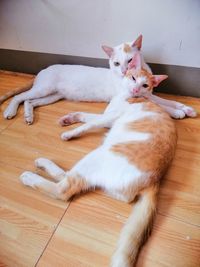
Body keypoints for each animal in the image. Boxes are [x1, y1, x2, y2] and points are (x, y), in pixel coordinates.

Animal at [19, 52, 177, 267]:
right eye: (133, 78)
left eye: (145, 85)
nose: (136, 89)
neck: (125, 96)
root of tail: (154, 181)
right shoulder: (106, 116)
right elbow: (86, 116)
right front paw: (68, 119)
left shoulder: (109, 117)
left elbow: (88, 125)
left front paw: (70, 133)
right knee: (67, 176)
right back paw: (42, 163)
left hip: (98, 156)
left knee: (63, 188)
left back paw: (30, 176)